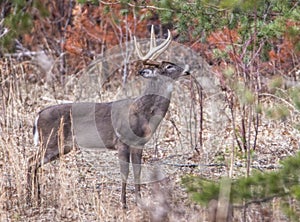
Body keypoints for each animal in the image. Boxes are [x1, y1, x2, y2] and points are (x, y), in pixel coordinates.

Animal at [27, 26, 189, 208]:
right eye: (169, 66)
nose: (187, 71)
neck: (143, 112)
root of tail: (38, 116)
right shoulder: (122, 141)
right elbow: (124, 172)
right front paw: (124, 204)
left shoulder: (139, 144)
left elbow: (137, 172)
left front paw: (139, 201)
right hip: (51, 141)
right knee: (31, 162)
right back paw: (31, 199)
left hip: (62, 146)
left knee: (33, 163)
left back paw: (36, 198)